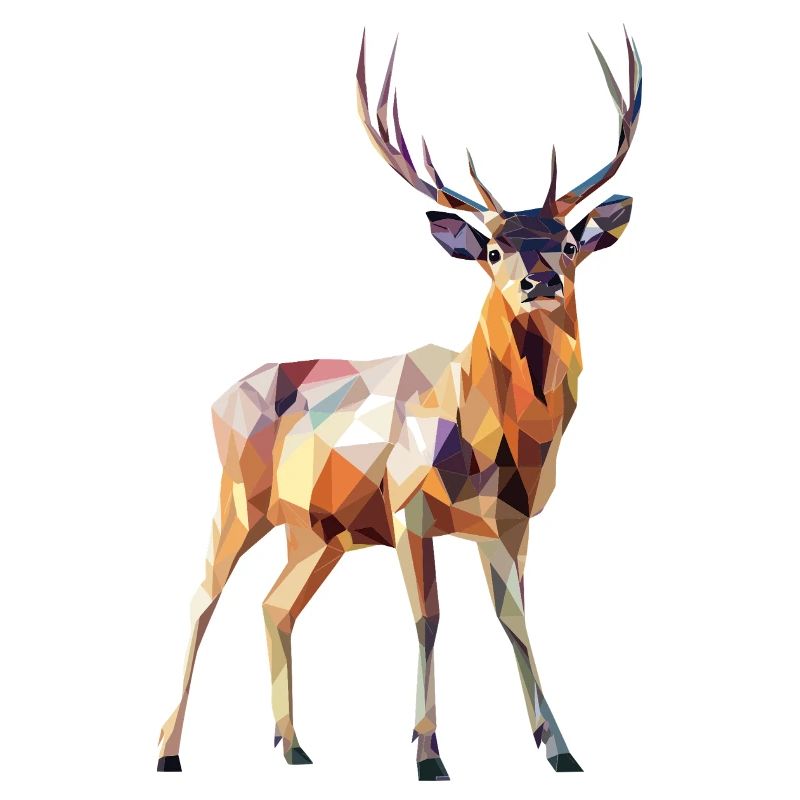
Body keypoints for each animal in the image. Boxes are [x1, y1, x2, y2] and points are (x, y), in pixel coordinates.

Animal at [157, 28, 642, 779]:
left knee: (275, 605)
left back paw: (294, 746)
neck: (491, 439)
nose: (539, 281)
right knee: (203, 598)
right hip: (238, 496)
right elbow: (429, 618)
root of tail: (217, 397)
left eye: (567, 242)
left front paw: (561, 748)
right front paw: (429, 754)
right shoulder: (407, 503)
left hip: (318, 532)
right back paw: (169, 750)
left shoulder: (510, 521)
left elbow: (515, 619)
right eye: (493, 248)